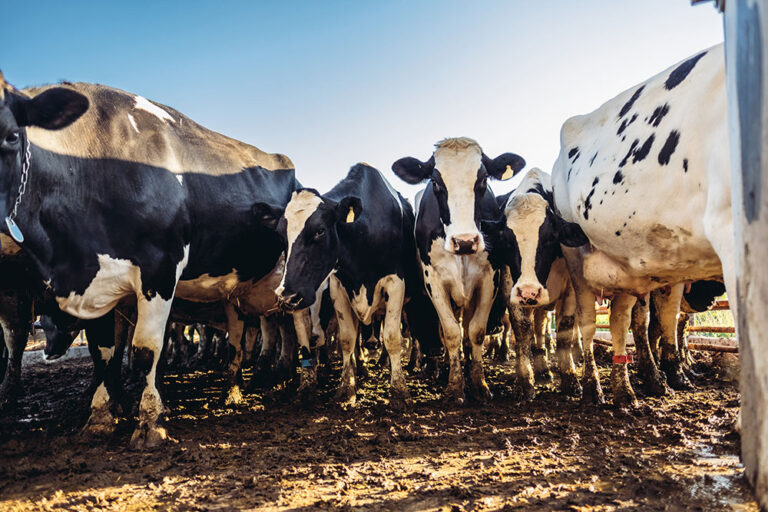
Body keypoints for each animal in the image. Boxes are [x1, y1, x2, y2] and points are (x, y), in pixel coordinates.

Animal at [0, 73, 306, 448]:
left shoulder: (159, 269)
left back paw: (293, 378)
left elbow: (146, 350)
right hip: (232, 294)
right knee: (237, 338)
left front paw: (149, 422)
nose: (48, 352)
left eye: (12, 135)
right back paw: (234, 392)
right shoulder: (100, 284)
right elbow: (103, 353)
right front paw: (101, 417)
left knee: (293, 325)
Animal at [254, 163, 420, 408]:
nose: (286, 296)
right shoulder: (338, 287)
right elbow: (347, 339)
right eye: (281, 235)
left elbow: (392, 337)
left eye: (320, 231)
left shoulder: (396, 283)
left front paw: (399, 391)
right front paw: (346, 388)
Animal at [392, 138, 524, 402]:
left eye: (482, 179)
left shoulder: (489, 279)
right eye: (435, 182)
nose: (464, 241)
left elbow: (476, 332)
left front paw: (478, 383)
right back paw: (442, 369)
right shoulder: (434, 280)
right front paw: (454, 386)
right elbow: (451, 332)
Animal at [484, 170, 592, 398]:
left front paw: (570, 378)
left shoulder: (570, 288)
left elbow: (565, 331)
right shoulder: (511, 289)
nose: (529, 292)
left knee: (542, 326)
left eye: (550, 239)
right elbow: (523, 330)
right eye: (507, 241)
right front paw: (525, 382)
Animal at [552, 44, 732, 406]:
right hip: (576, 257)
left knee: (623, 319)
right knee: (586, 322)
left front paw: (675, 371)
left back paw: (628, 387)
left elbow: (666, 320)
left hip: (629, 265)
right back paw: (592, 386)